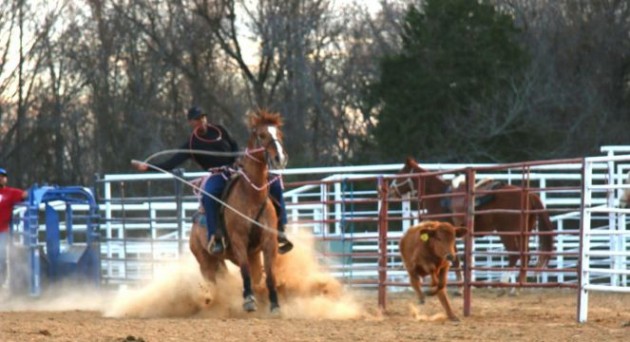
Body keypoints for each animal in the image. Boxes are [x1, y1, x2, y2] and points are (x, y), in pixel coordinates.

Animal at [188, 109, 286, 312]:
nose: (279, 159)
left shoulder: (268, 241)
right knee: (215, 282)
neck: (252, 195)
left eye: (279, 133)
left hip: (245, 256)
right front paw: (248, 300)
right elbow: (245, 271)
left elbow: (270, 273)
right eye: (262, 135)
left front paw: (274, 304)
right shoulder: (238, 240)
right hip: (206, 262)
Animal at [390, 157, 556, 294]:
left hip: (507, 231)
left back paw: (504, 285)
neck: (438, 198)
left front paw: (459, 288)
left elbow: (454, 259)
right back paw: (518, 287)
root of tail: (528, 194)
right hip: (524, 231)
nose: (391, 190)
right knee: (525, 254)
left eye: (400, 174)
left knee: (514, 253)